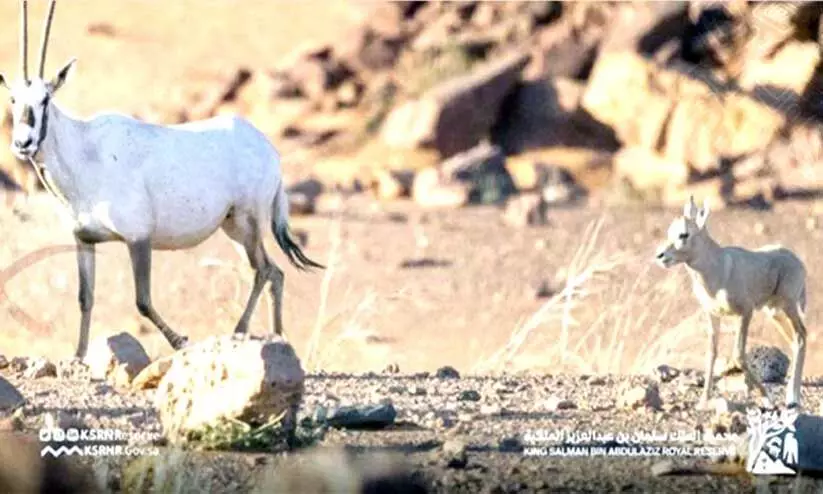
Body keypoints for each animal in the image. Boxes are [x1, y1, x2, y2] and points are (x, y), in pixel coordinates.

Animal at [0, 1, 326, 360]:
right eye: (13, 99)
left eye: (45, 99)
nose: (24, 143)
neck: (85, 151)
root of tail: (270, 151)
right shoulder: (83, 240)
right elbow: (85, 299)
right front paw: (79, 356)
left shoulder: (138, 238)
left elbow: (142, 302)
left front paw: (180, 341)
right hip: (235, 228)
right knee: (276, 273)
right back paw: (278, 336)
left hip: (248, 221)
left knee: (263, 270)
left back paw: (240, 331)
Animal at [656, 197, 812, 410]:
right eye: (669, 232)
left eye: (684, 234)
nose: (660, 256)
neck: (717, 267)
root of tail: (796, 260)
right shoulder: (713, 315)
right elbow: (711, 354)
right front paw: (703, 401)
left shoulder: (745, 313)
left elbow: (738, 355)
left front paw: (767, 398)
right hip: (775, 312)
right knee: (795, 340)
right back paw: (792, 397)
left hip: (788, 307)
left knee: (801, 335)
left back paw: (793, 399)